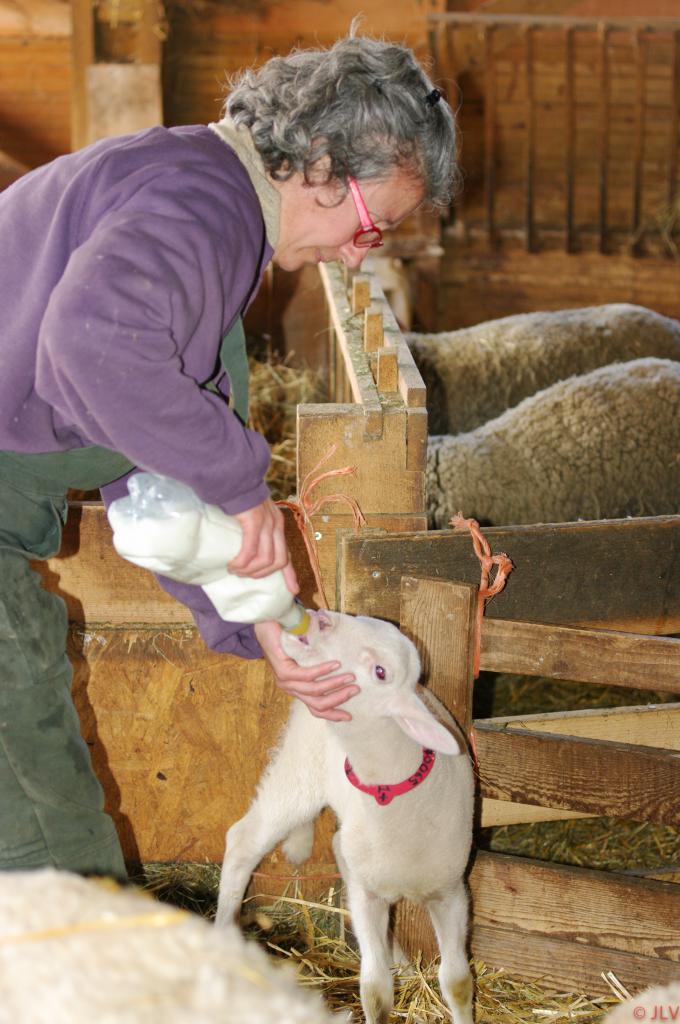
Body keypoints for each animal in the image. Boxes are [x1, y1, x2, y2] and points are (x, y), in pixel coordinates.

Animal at [215, 606, 475, 1024]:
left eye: (380, 672)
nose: (321, 617)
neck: (395, 794)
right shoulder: (368, 896)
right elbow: (375, 992)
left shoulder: (451, 892)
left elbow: (457, 982)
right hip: (300, 771)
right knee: (244, 839)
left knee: (337, 846)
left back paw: (401, 962)